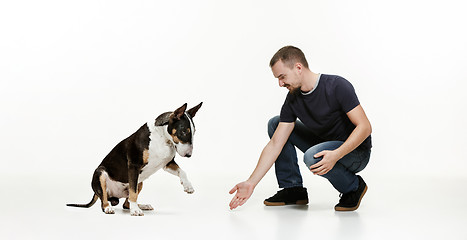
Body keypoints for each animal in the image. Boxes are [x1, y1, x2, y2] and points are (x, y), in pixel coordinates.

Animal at [67, 102, 201, 216]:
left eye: (193, 132)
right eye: (183, 132)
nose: (189, 155)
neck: (162, 138)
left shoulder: (167, 164)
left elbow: (182, 171)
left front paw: (188, 186)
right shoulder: (134, 166)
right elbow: (133, 192)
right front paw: (135, 211)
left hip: (140, 181)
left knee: (126, 203)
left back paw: (142, 206)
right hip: (101, 173)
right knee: (105, 200)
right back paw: (110, 208)